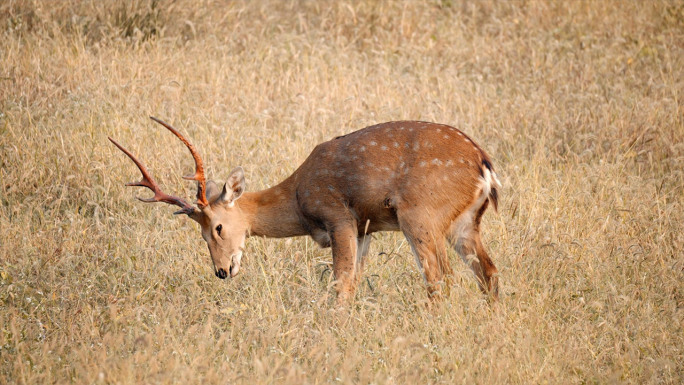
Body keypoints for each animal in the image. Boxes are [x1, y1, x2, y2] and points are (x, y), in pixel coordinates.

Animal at [108, 115, 502, 302]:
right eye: (200, 233)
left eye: (216, 226)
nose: (222, 271)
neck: (298, 195)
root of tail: (482, 163)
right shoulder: (365, 229)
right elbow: (354, 281)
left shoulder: (339, 217)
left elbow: (341, 283)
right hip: (465, 223)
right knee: (488, 271)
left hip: (419, 217)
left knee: (440, 277)